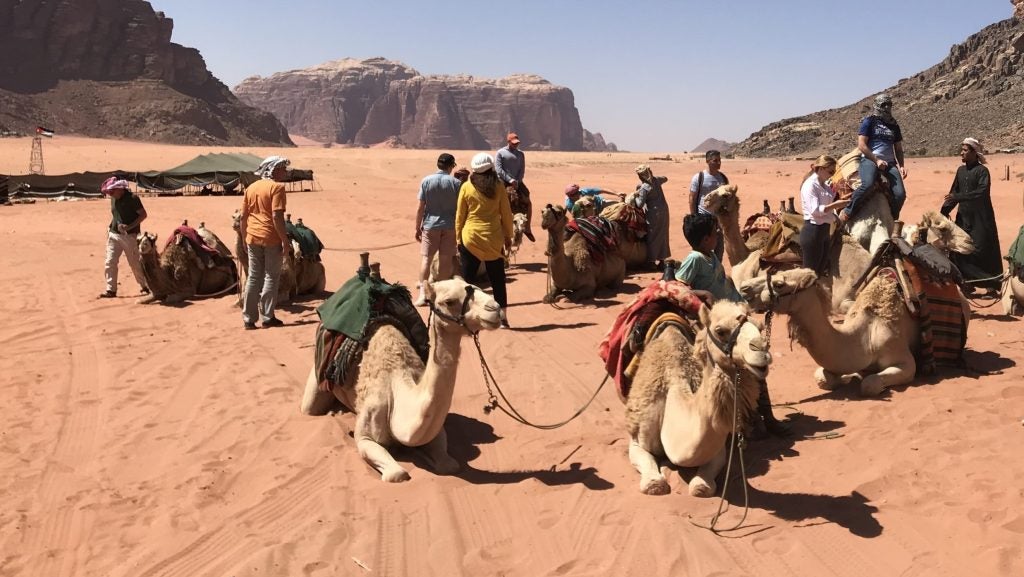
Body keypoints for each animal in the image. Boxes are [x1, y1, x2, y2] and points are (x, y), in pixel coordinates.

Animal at [299, 276, 501, 481]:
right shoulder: (366, 435)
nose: (495, 308)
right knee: (310, 408)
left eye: (476, 287)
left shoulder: (435, 430)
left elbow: (448, 465)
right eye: (449, 301)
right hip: (316, 377)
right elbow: (397, 473)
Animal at [618, 301, 770, 493]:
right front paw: (654, 483)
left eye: (760, 327)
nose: (762, 351)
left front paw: (701, 484)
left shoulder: (718, 447)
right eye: (720, 331)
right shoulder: (638, 438)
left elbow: (702, 486)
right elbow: (652, 478)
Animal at [741, 270, 970, 397]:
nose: (744, 288)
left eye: (779, 283)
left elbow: (869, 384)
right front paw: (849, 376)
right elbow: (822, 378)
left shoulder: (903, 359)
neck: (864, 336)